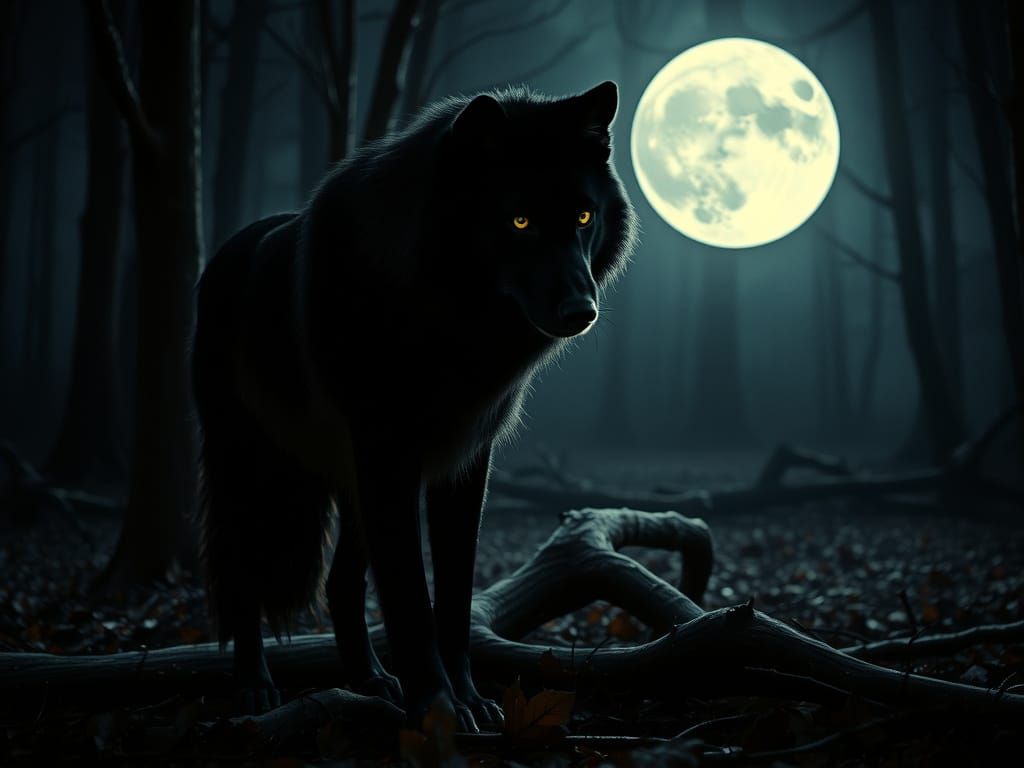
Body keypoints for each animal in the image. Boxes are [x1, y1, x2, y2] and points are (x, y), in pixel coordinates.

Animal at [192, 80, 637, 731]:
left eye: (583, 216)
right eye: (520, 220)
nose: (583, 310)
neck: (448, 325)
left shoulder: (465, 462)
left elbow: (451, 598)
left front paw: (468, 699)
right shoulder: (388, 454)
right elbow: (408, 595)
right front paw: (437, 708)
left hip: (349, 484)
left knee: (340, 583)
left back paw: (370, 680)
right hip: (246, 469)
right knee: (240, 576)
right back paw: (255, 685)